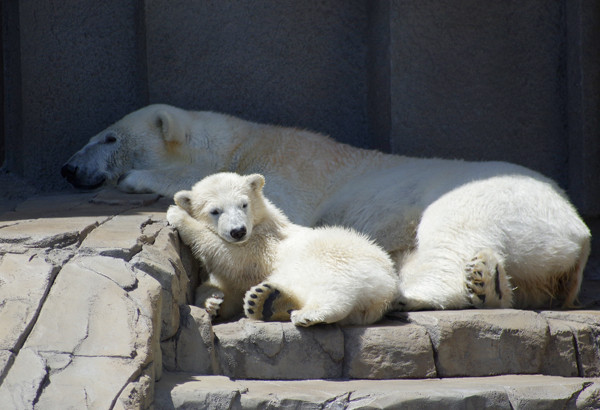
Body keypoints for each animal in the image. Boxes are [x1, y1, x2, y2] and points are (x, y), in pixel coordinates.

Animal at [62, 104, 592, 310]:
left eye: (109, 137)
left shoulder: (288, 171)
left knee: (449, 232)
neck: (247, 141)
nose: (67, 168)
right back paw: (491, 285)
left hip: (495, 198)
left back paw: (414, 293)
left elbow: (272, 211)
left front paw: (139, 179)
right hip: (542, 261)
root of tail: (578, 231)